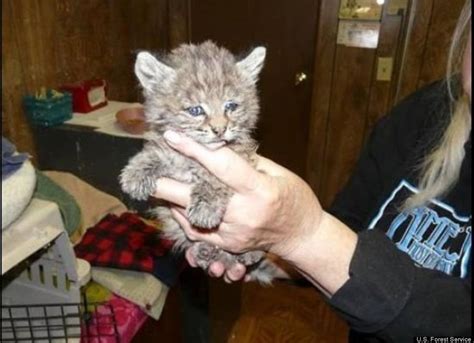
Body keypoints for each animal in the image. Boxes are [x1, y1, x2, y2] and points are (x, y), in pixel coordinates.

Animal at [119, 41, 278, 284]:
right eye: (196, 110)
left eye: (231, 106)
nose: (220, 129)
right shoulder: (169, 145)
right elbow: (158, 151)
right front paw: (136, 173)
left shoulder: (242, 157)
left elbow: (215, 178)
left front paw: (206, 207)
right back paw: (206, 251)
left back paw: (249, 253)